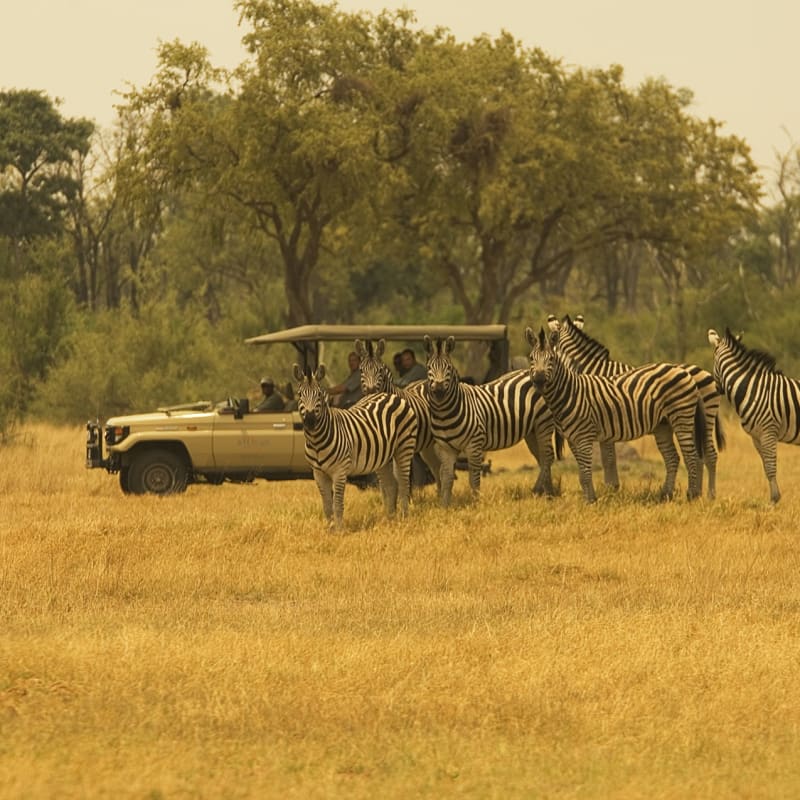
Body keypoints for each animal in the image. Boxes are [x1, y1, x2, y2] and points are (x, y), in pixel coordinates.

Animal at [292, 363, 418, 529]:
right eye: (300, 394)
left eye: (319, 394)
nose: (310, 421)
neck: (316, 441)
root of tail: (389, 394)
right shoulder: (318, 473)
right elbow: (326, 505)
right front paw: (330, 528)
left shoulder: (340, 470)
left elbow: (337, 504)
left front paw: (339, 529)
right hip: (383, 457)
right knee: (391, 486)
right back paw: (390, 519)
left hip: (404, 447)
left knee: (403, 483)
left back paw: (404, 518)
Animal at [422, 335, 559, 506]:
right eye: (429, 368)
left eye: (448, 368)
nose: (439, 391)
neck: (445, 413)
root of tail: (532, 372)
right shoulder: (445, 449)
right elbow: (447, 478)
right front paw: (445, 506)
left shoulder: (474, 445)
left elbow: (474, 479)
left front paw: (475, 504)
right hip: (531, 430)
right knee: (542, 458)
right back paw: (547, 493)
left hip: (543, 423)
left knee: (547, 457)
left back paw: (541, 491)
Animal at [550, 314, 725, 498]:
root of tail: (706, 373)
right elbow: (608, 458)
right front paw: (611, 487)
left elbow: (608, 459)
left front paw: (611, 488)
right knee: (700, 455)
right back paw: (698, 492)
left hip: (701, 419)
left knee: (709, 455)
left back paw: (709, 495)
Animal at [708, 327, 800, 503]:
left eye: (713, 358)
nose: (716, 389)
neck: (752, 388)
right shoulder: (756, 437)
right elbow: (766, 466)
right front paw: (774, 497)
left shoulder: (768, 432)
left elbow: (770, 466)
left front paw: (774, 500)